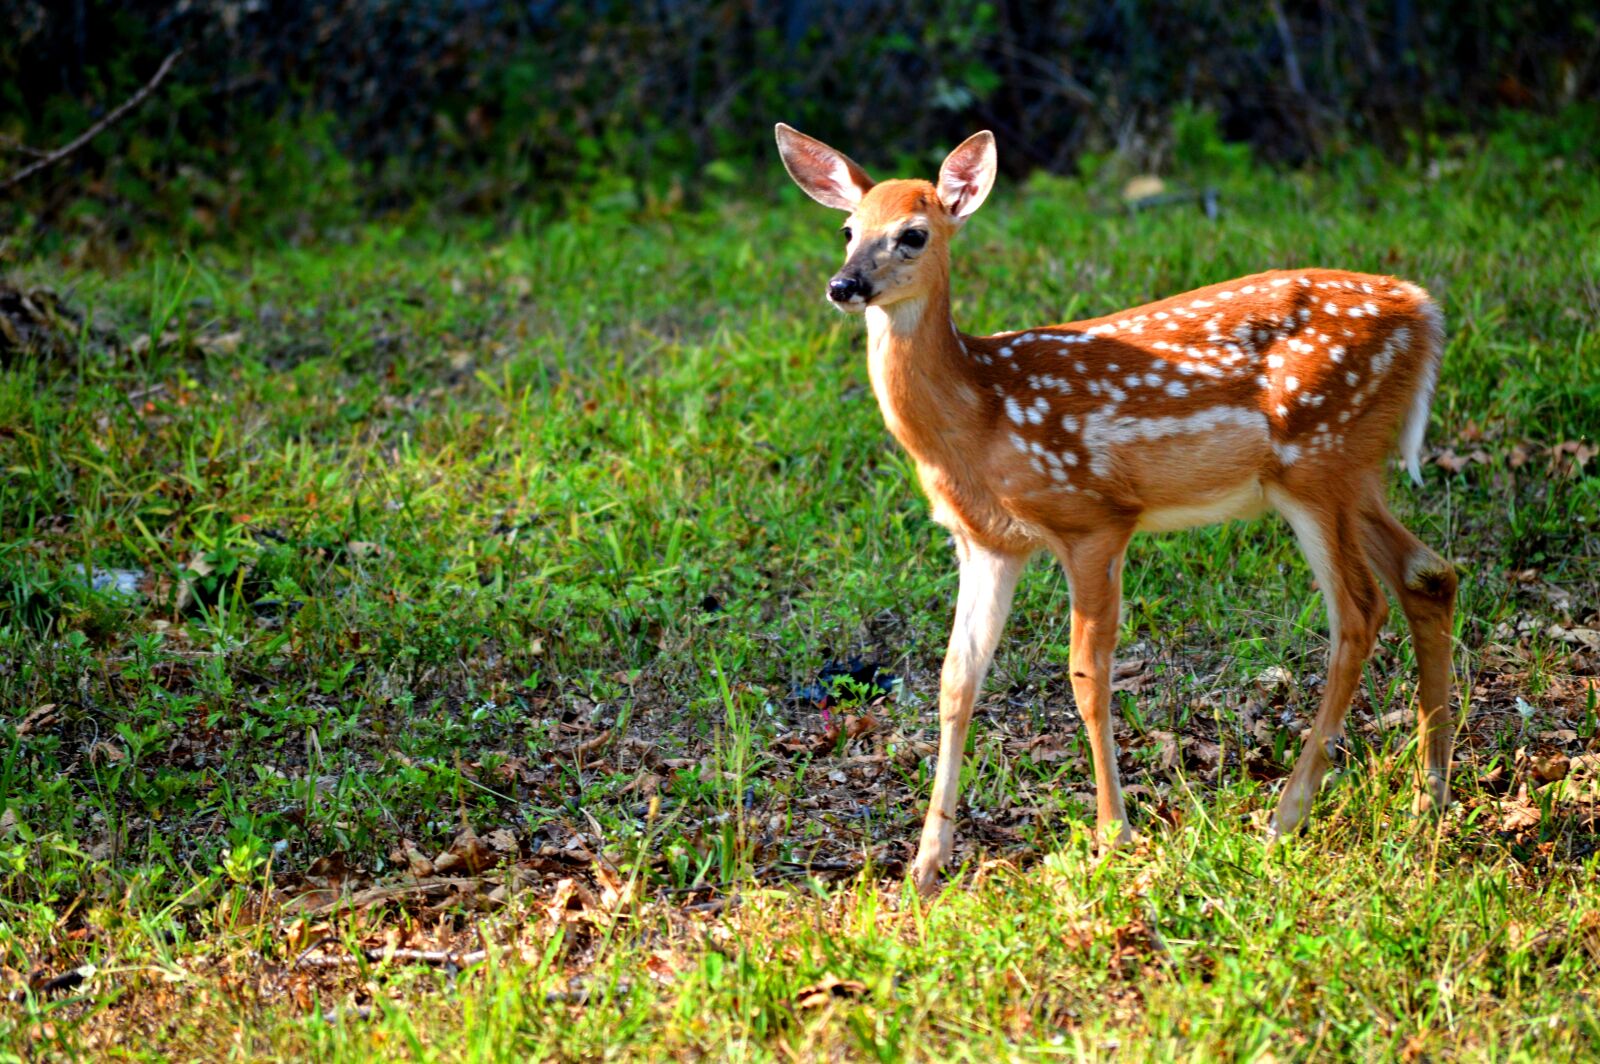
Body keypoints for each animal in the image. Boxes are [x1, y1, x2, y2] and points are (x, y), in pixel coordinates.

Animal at [773, 123, 1460, 896]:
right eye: (847, 229)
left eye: (913, 234)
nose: (844, 285)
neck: (979, 416)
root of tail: (1425, 311)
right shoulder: (987, 542)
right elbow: (956, 679)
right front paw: (925, 865)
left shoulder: (1093, 518)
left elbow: (1087, 676)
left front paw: (1112, 835)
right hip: (1354, 469)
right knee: (1427, 573)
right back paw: (1428, 796)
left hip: (1317, 461)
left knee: (1360, 610)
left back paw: (1287, 815)